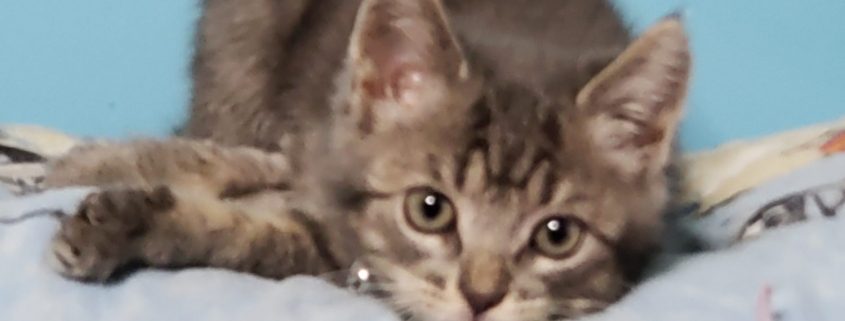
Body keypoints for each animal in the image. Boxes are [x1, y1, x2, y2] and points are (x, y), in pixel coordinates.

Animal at [44, 0, 684, 320]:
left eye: (558, 236)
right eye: (430, 209)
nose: (481, 299)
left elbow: (249, 232)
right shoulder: (314, 154)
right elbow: (222, 169)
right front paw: (94, 182)